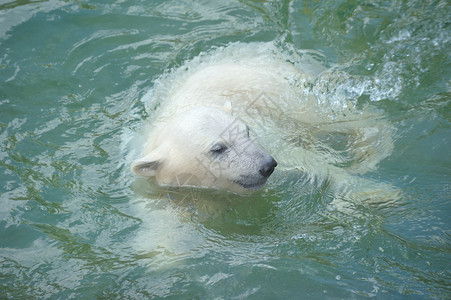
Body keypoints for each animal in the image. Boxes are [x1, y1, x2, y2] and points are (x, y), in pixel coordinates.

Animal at [132, 41, 400, 199]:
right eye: (218, 148)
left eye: (247, 132)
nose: (267, 165)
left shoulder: (270, 136)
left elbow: (308, 160)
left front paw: (372, 192)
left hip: (281, 91)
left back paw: (371, 147)